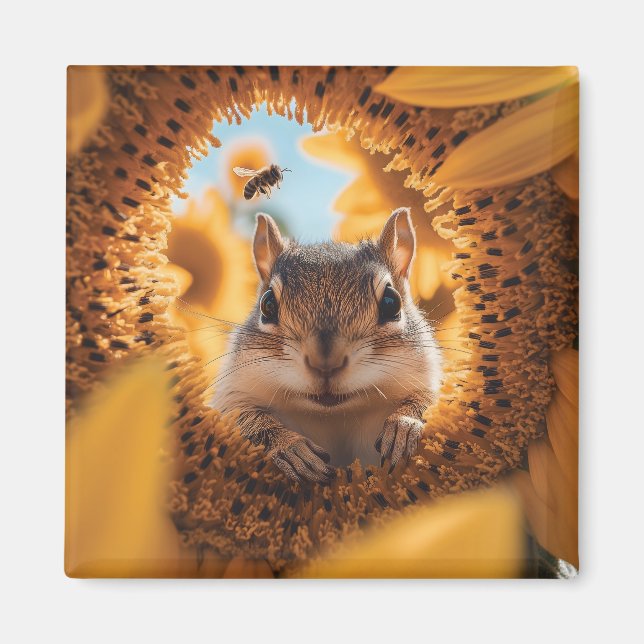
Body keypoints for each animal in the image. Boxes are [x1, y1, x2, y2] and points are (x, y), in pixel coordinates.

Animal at [212, 207, 442, 484]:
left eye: (391, 302)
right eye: (267, 305)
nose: (325, 363)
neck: (335, 415)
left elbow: (428, 401)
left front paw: (404, 425)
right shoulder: (232, 395)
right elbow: (246, 421)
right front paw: (290, 449)